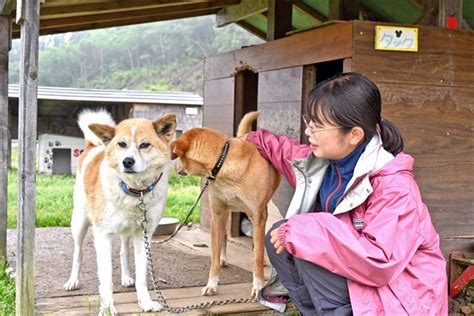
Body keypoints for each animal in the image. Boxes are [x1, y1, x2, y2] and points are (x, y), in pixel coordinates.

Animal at [62, 108, 175, 314]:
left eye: (144, 145)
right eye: (122, 144)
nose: (127, 161)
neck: (135, 191)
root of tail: (93, 146)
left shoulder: (143, 234)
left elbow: (142, 276)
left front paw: (145, 302)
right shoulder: (102, 236)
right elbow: (106, 279)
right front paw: (107, 308)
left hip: (126, 230)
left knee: (123, 251)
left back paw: (126, 277)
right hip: (80, 223)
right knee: (78, 252)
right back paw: (73, 281)